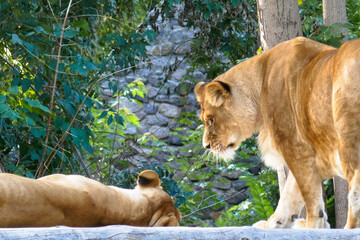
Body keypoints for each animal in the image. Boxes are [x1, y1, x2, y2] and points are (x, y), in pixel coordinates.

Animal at [195, 37, 360, 229]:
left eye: (211, 119)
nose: (206, 145)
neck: (258, 85)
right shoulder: (304, 152)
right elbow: (290, 194)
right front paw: (274, 223)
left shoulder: (295, 147)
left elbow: (309, 195)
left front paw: (313, 225)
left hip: (347, 137)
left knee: (355, 188)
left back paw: (349, 228)